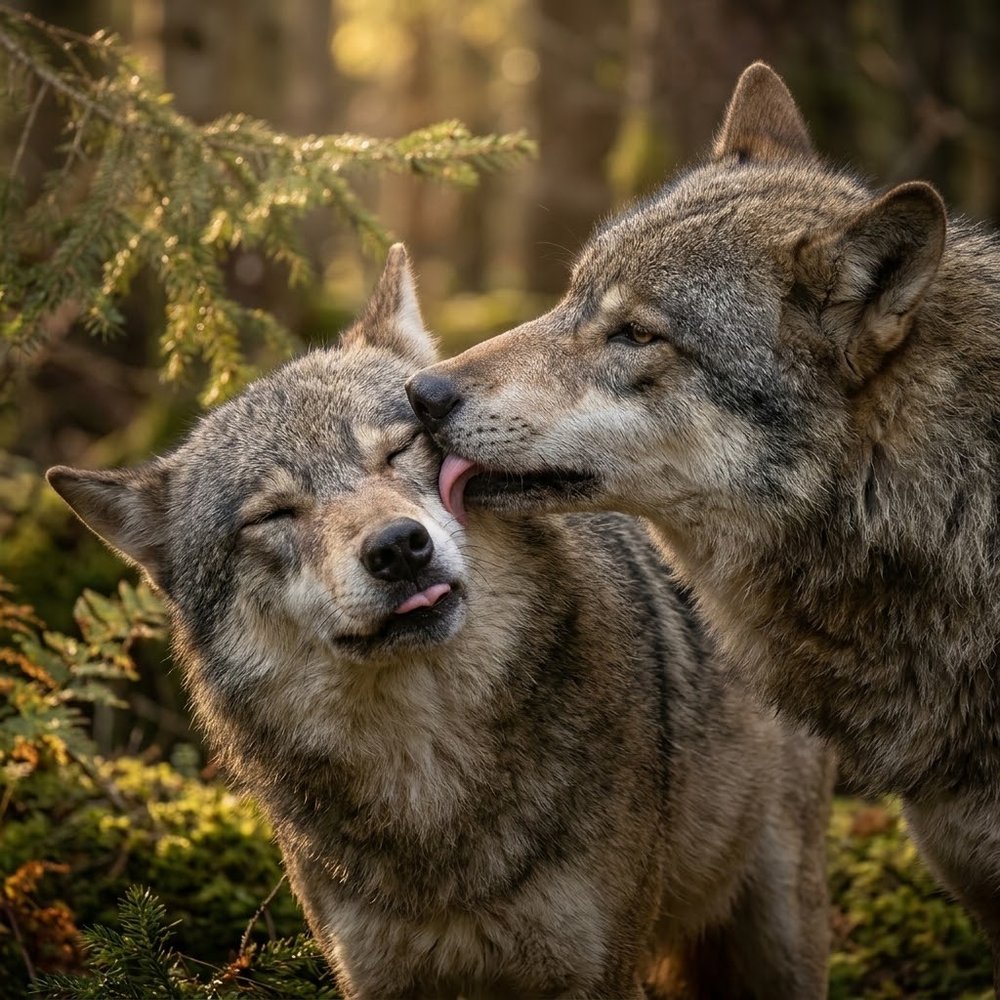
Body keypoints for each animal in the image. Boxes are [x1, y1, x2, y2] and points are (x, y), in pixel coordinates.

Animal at [47, 246, 833, 999]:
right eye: (273, 515)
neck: (430, 780)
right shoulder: (377, 979)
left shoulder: (599, 971)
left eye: (400, 449)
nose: (399, 548)